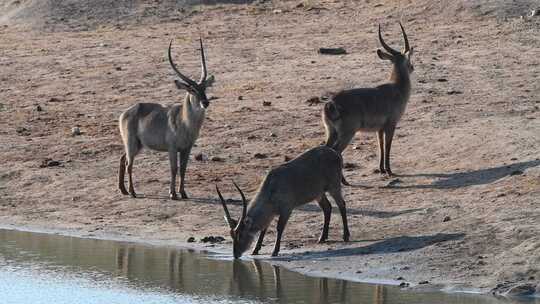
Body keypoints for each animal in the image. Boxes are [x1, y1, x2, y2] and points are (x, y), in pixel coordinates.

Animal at [117, 38, 214, 200]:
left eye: (204, 88)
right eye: (192, 89)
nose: (205, 102)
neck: (185, 122)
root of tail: (125, 113)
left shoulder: (187, 148)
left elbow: (183, 169)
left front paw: (183, 193)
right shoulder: (172, 148)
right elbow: (174, 168)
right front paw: (173, 194)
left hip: (137, 145)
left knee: (123, 158)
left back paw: (123, 190)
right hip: (132, 143)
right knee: (128, 164)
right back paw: (132, 192)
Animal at [215, 146, 350, 258]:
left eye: (241, 235)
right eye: (232, 235)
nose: (235, 255)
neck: (271, 187)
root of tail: (335, 153)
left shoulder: (286, 209)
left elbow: (279, 228)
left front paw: (275, 251)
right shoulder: (271, 213)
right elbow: (264, 229)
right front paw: (255, 250)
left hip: (333, 186)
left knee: (342, 204)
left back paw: (345, 236)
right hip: (319, 194)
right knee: (327, 208)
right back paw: (322, 238)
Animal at [322, 23, 416, 176]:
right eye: (408, 59)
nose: (412, 67)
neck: (397, 88)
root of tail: (331, 103)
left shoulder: (379, 129)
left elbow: (380, 146)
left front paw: (381, 169)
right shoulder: (391, 125)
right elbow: (388, 146)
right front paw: (389, 171)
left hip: (331, 132)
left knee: (327, 148)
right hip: (347, 133)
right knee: (337, 151)